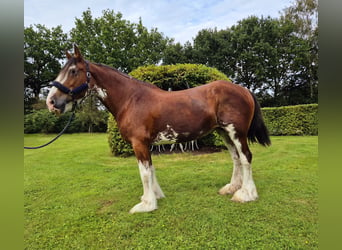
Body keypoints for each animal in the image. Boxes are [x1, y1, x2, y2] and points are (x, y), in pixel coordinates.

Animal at [46, 44, 270, 213]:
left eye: (73, 71)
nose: (51, 102)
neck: (132, 99)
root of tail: (243, 89)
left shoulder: (139, 143)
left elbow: (144, 172)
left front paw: (146, 204)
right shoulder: (146, 144)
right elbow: (151, 169)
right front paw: (155, 196)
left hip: (236, 132)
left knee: (246, 157)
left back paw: (246, 194)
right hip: (224, 132)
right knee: (236, 158)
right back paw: (232, 188)